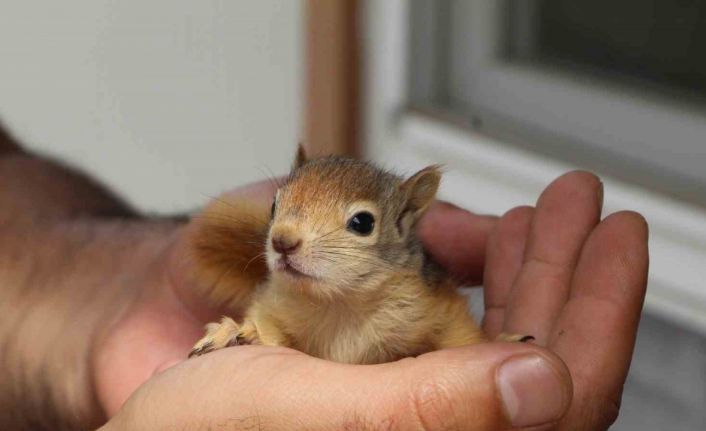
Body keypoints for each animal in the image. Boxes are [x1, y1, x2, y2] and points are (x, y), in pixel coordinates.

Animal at [188, 146, 528, 364]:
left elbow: (462, 339)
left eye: (363, 223)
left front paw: (501, 342)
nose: (282, 241)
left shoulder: (440, 309)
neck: (340, 302)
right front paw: (235, 333)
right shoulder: (273, 308)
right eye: (273, 205)